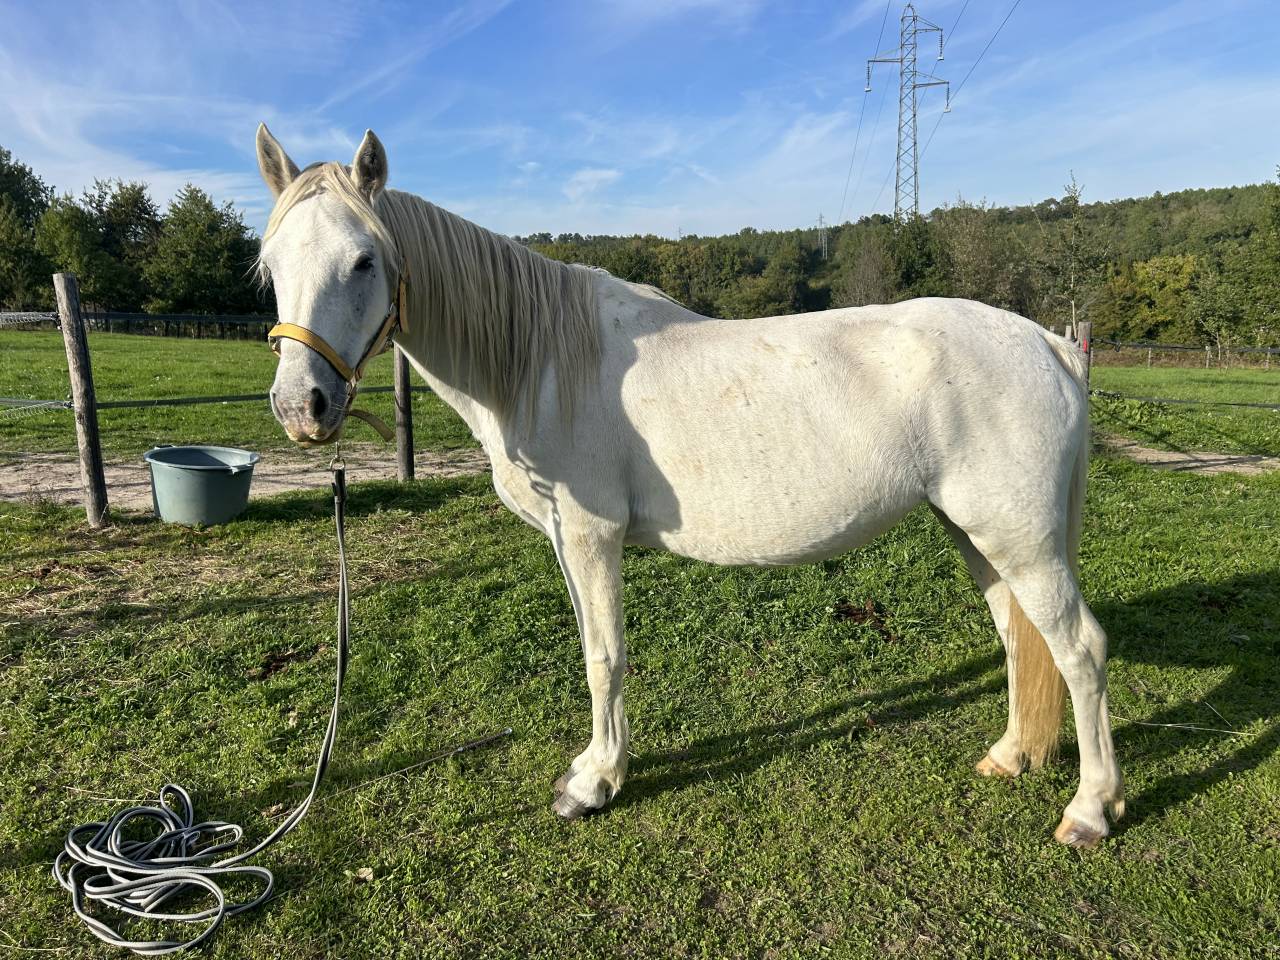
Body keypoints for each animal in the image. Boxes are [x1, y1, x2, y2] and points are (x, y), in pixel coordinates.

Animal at [254, 124, 1124, 847]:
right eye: (271, 265)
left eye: (364, 260)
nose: (303, 407)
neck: (541, 361)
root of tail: (1048, 344)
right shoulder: (567, 542)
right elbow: (592, 648)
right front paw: (596, 765)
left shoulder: (592, 534)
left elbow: (604, 656)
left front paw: (595, 783)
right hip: (978, 533)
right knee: (1019, 635)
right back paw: (1010, 756)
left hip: (1020, 540)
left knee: (1079, 648)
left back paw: (1089, 810)